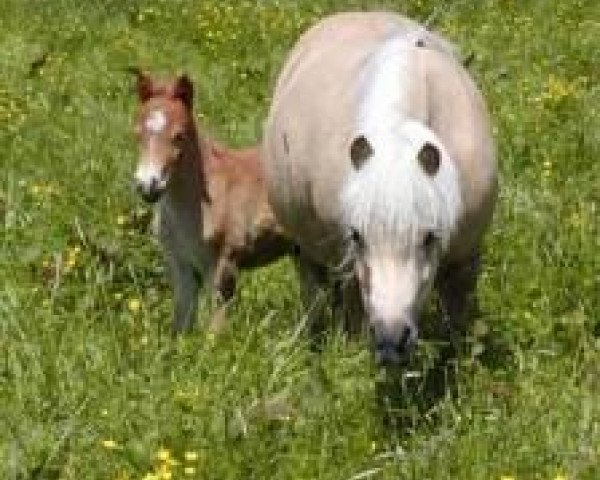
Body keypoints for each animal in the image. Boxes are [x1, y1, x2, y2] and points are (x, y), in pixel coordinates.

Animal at [131, 72, 292, 334]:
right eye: (137, 134)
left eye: (179, 136)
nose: (148, 185)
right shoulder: (180, 265)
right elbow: (181, 322)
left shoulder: (222, 266)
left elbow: (215, 330)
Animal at [264, 11, 496, 364]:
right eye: (358, 236)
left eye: (429, 237)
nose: (390, 341)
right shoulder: (350, 263)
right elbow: (355, 316)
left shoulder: (465, 260)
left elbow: (456, 327)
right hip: (305, 251)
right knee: (313, 293)